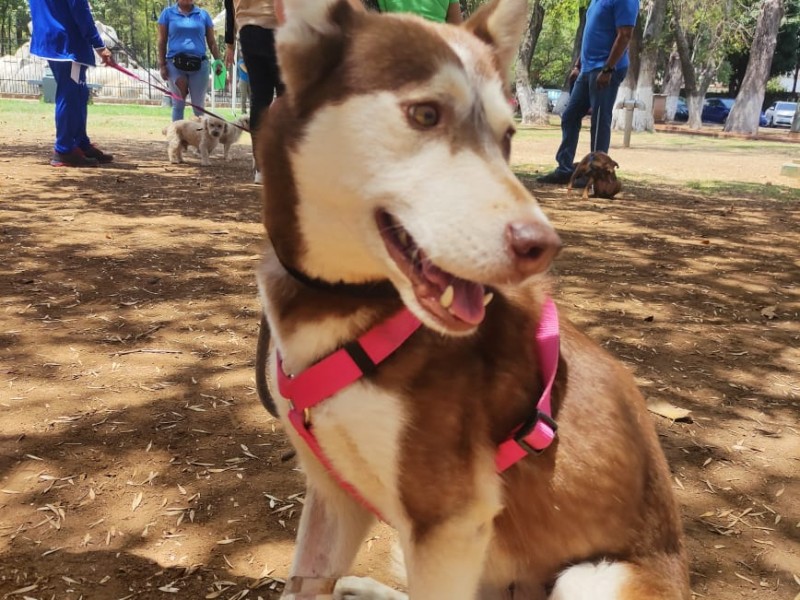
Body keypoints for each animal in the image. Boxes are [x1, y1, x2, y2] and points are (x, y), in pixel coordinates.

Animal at [256, 0, 688, 596]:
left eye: (507, 137)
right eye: (425, 114)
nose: (542, 246)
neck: (339, 301)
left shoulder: (450, 520)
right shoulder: (334, 492)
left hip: (588, 578)